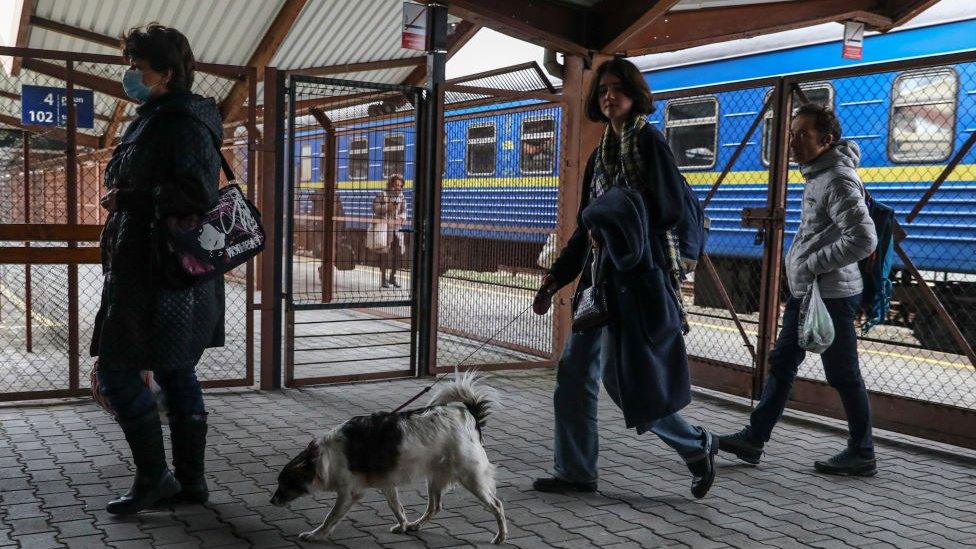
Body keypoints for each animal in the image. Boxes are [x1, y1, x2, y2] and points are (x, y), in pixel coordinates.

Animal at [268, 372, 508, 544]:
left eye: (285, 483)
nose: (271, 501)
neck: (322, 457)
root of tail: (469, 416)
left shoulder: (348, 493)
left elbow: (330, 518)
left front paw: (315, 535)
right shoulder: (387, 484)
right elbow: (397, 509)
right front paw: (403, 525)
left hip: (470, 477)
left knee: (497, 505)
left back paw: (501, 536)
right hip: (435, 478)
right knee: (434, 507)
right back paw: (415, 525)